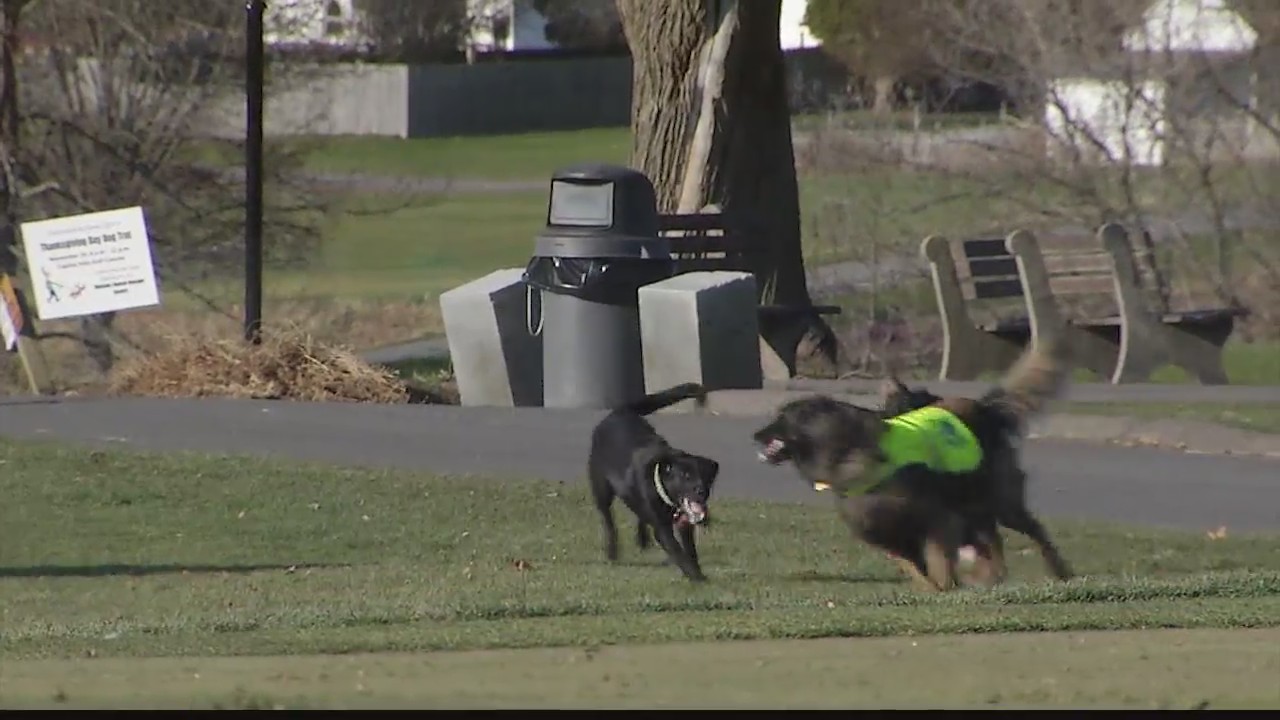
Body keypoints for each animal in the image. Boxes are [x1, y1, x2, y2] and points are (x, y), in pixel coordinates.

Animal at [588, 381, 721, 576]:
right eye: (686, 476)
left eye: (705, 477)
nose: (701, 491)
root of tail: (619, 411)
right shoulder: (662, 529)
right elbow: (677, 550)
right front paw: (696, 576)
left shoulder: (684, 524)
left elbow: (689, 550)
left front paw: (696, 570)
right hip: (601, 488)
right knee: (608, 520)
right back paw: (612, 551)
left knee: (639, 516)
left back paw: (642, 539)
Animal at [747, 338, 1070, 591]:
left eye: (781, 419)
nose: (755, 434)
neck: (846, 450)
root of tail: (985, 408)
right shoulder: (886, 533)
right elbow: (913, 565)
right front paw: (936, 588)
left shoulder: (936, 518)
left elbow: (939, 560)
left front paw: (948, 587)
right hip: (974, 506)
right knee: (991, 542)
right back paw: (991, 576)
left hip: (998, 500)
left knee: (1032, 532)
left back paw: (1057, 570)